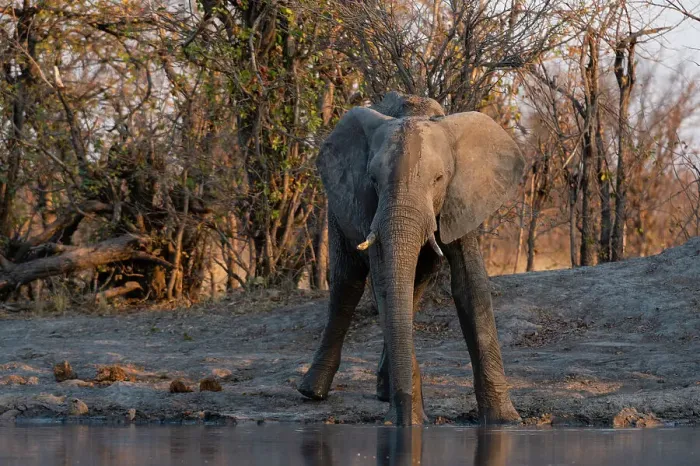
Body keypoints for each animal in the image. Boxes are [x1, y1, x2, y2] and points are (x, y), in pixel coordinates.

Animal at [298, 91, 524, 426]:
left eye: (439, 179)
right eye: (373, 180)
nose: (402, 419)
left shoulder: (462, 196)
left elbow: (470, 286)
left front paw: (506, 420)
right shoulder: (369, 206)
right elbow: (383, 285)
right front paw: (412, 421)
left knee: (416, 285)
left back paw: (383, 390)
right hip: (338, 203)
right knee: (347, 283)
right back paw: (312, 392)